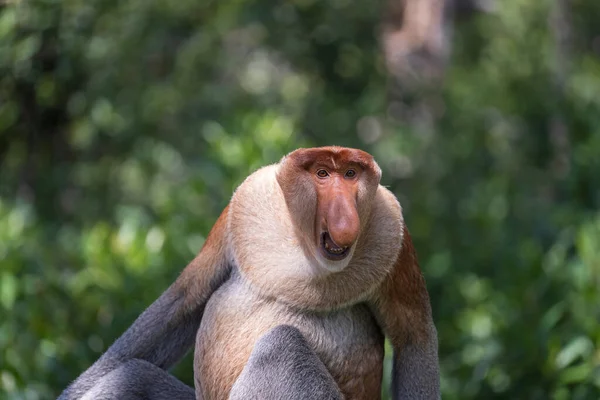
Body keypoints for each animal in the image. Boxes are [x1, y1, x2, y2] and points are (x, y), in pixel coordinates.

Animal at [59, 147, 440, 400]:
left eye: (350, 175)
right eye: (322, 174)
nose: (345, 218)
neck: (302, 245)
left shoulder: (394, 236)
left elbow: (413, 337)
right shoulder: (240, 207)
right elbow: (186, 297)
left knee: (282, 346)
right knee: (134, 376)